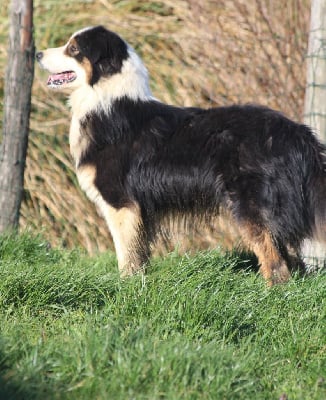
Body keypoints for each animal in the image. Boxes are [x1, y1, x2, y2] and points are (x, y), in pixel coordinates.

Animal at [35, 25, 326, 284]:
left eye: (73, 48)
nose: (37, 53)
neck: (106, 100)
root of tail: (299, 134)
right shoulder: (140, 212)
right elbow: (140, 256)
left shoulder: (121, 204)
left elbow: (126, 257)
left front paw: (126, 288)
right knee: (289, 261)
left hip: (251, 206)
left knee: (276, 265)